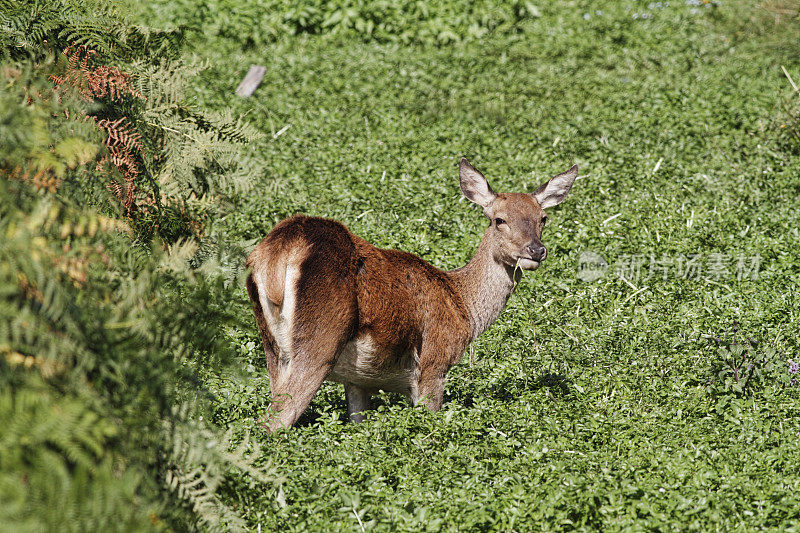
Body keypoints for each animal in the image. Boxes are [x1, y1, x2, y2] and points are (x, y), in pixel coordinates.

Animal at [247, 158, 580, 432]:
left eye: (543, 218)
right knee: (273, 421)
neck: (463, 306)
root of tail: (278, 254)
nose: (535, 250)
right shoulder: (434, 361)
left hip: (272, 347)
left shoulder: (357, 379)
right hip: (320, 338)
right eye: (499, 219)